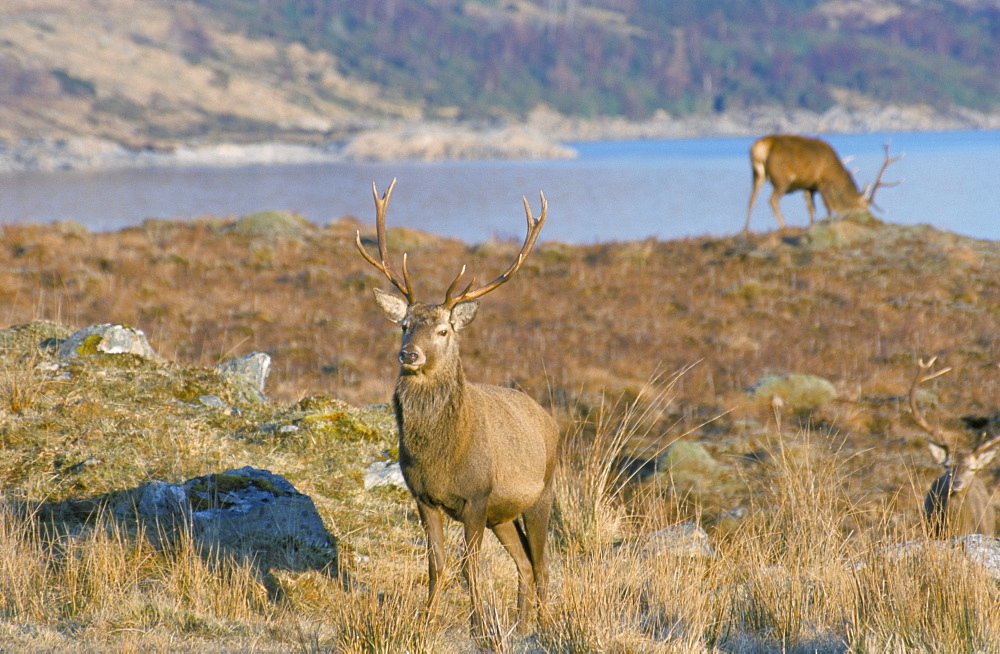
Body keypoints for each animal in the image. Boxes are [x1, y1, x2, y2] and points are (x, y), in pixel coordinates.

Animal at [354, 178, 560, 636]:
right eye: (404, 325)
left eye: (444, 330)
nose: (409, 355)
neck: (440, 458)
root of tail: (549, 419)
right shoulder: (423, 497)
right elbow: (437, 566)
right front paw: (425, 621)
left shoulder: (477, 496)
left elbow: (471, 568)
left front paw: (480, 625)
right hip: (503, 515)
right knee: (523, 564)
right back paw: (520, 624)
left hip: (542, 493)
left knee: (541, 566)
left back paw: (545, 625)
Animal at [744, 134, 900, 233]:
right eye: (864, 207)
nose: (870, 218)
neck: (835, 174)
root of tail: (759, 148)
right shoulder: (822, 182)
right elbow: (828, 207)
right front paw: (829, 222)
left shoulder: (808, 186)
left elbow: (811, 209)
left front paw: (812, 226)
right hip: (782, 178)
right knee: (772, 200)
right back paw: (784, 227)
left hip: (757, 174)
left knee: (751, 199)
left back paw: (746, 229)